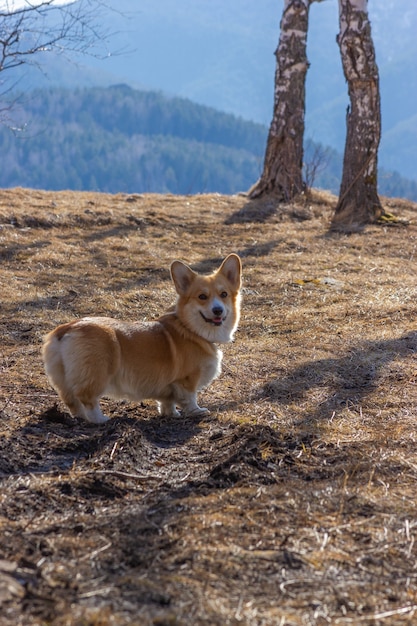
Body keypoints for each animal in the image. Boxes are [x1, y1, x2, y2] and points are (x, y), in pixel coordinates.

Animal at [41, 254, 240, 424]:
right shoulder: (187, 380)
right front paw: (197, 411)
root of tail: (66, 329)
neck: (191, 329)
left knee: (72, 402)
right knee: (87, 399)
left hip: (63, 378)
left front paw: (171, 414)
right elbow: (189, 398)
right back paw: (100, 419)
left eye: (224, 294)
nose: (218, 310)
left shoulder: (168, 389)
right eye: (202, 297)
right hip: (96, 374)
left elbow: (167, 402)